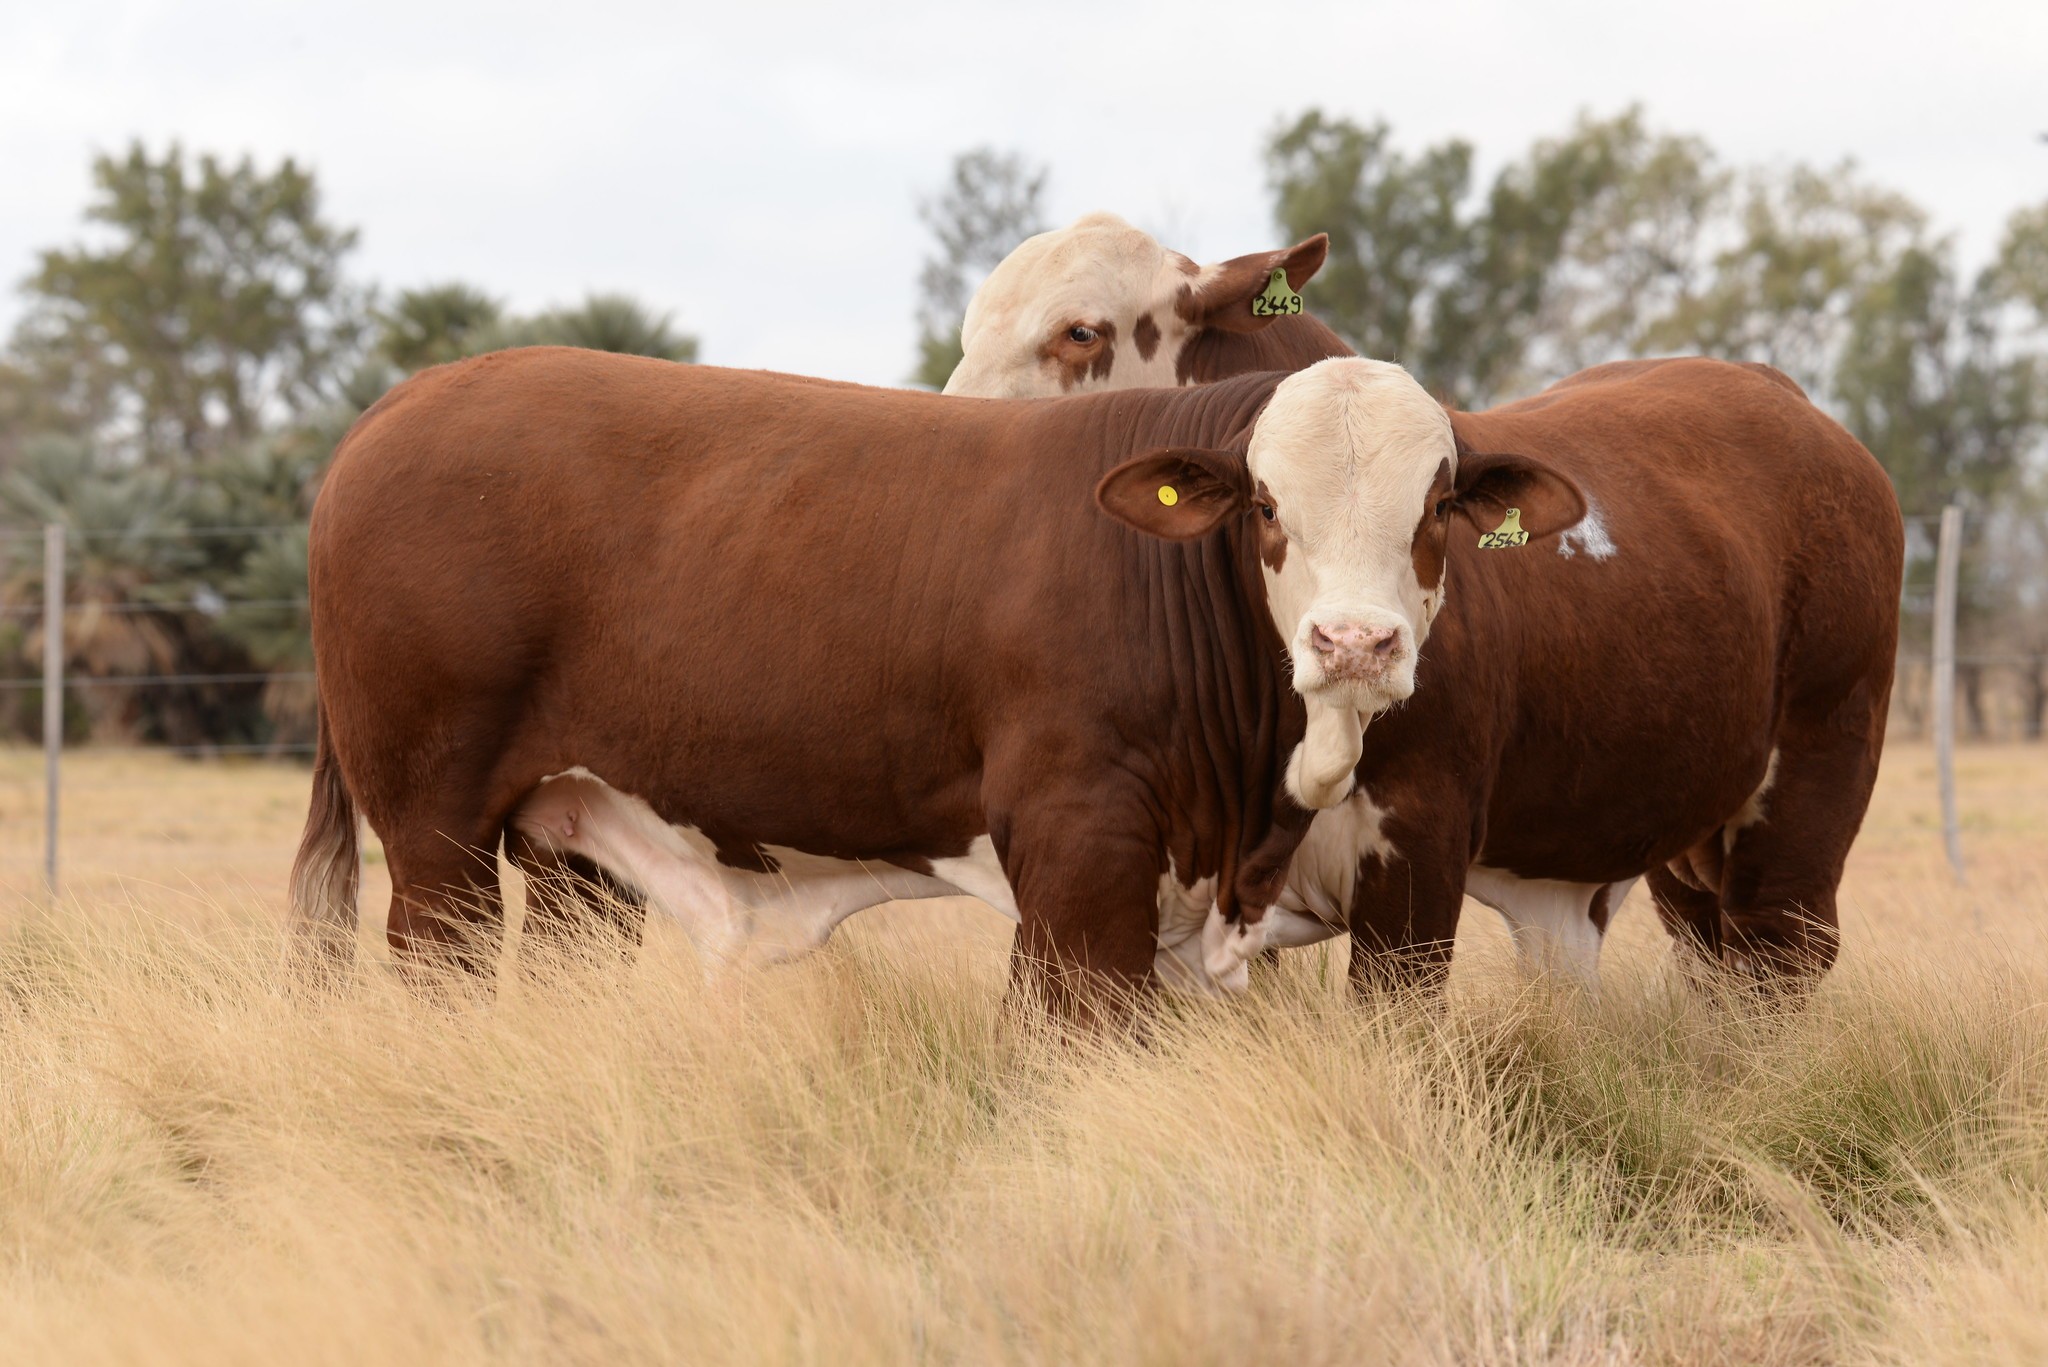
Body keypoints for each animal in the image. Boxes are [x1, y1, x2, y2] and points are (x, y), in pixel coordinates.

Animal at [288, 344, 1564, 1004]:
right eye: (1262, 504)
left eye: (1437, 505)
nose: (1354, 643)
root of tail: (411, 396)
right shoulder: (1078, 845)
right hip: (433, 826)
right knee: (437, 960)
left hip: (570, 831)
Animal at [950, 211, 1908, 996]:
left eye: (1079, 331)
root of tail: (1784, 396)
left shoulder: (1415, 859)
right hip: (1678, 831)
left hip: (1815, 782)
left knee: (1777, 955)